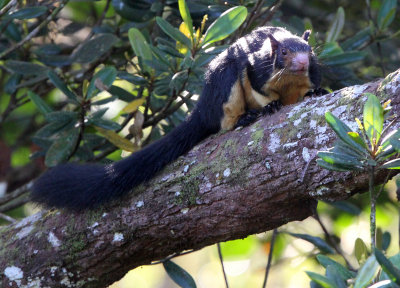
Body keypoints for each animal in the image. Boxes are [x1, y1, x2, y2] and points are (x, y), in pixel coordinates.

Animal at [31, 25, 324, 210]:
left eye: (309, 50)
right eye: (283, 52)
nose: (302, 63)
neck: (289, 80)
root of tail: (203, 109)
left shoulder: (310, 74)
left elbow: (306, 89)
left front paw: (315, 92)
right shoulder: (256, 70)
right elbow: (260, 90)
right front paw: (270, 106)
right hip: (225, 80)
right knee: (224, 120)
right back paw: (243, 118)